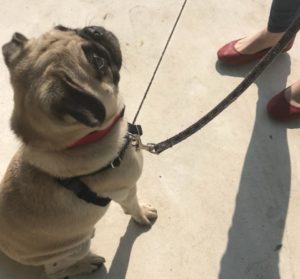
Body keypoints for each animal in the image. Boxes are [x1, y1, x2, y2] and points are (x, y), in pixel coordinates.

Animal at [0, 25, 158, 278]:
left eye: (64, 27)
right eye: (98, 61)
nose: (94, 30)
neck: (75, 143)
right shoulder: (126, 191)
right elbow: (133, 208)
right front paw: (143, 215)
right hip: (75, 247)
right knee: (56, 271)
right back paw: (87, 264)